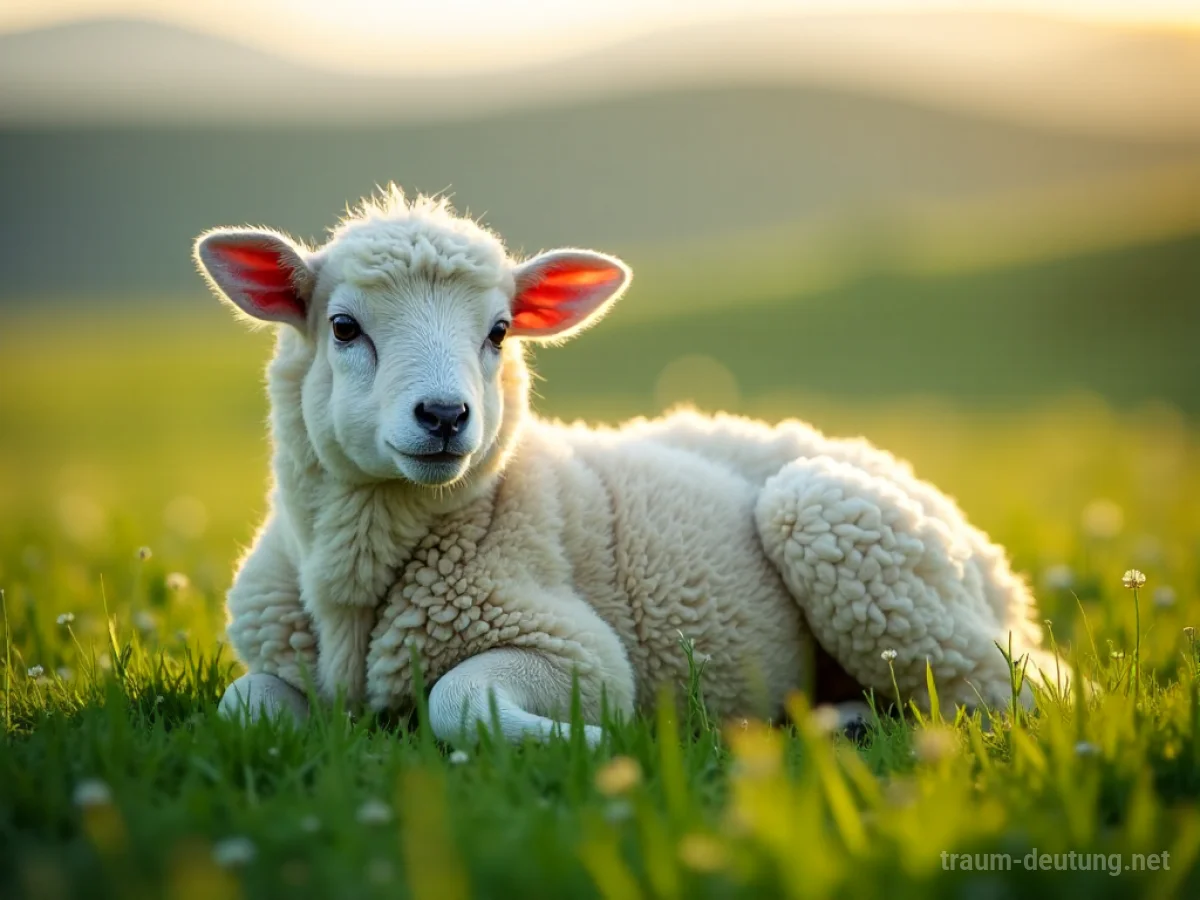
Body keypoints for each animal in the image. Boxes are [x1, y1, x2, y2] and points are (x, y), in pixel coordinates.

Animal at [198, 186, 1066, 745]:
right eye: (344, 327)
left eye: (500, 331)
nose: (445, 417)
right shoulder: (277, 661)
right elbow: (241, 707)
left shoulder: (573, 648)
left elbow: (457, 701)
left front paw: (600, 741)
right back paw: (839, 720)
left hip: (856, 544)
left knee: (1020, 695)